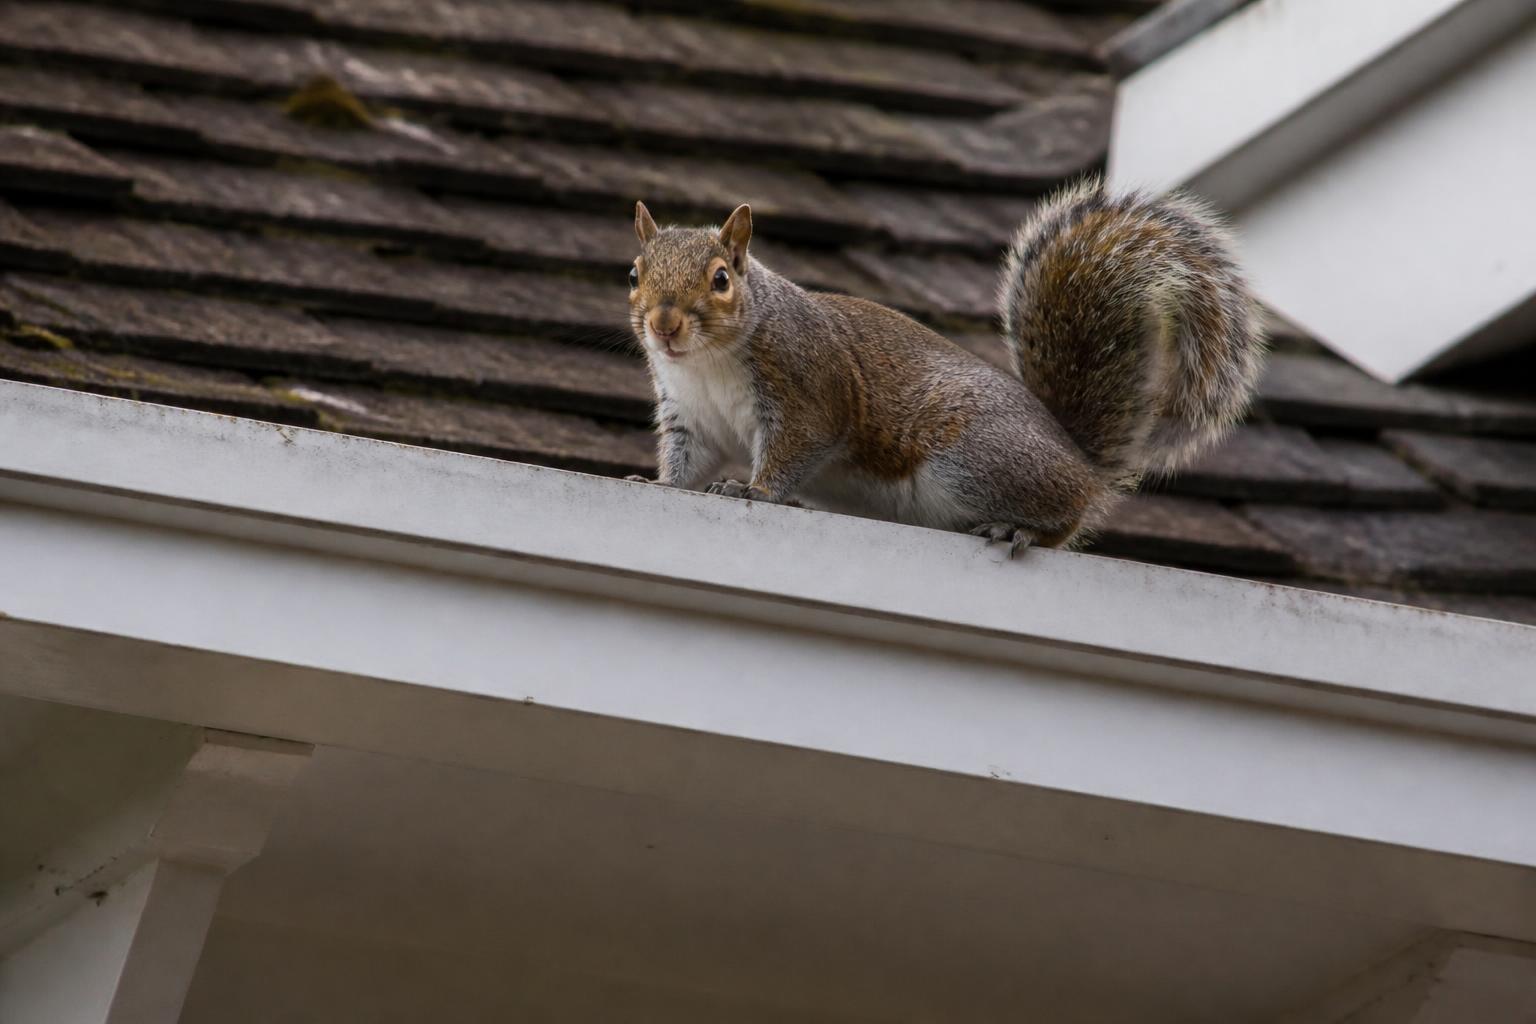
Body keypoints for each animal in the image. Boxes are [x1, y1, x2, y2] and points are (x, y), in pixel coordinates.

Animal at [625, 178, 1265, 555]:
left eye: (721, 279)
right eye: (634, 272)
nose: (664, 324)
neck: (706, 365)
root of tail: (1079, 458)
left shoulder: (806, 385)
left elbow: (795, 448)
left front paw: (755, 490)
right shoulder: (690, 416)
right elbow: (688, 462)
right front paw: (658, 484)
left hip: (973, 459)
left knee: (1065, 514)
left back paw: (1020, 528)